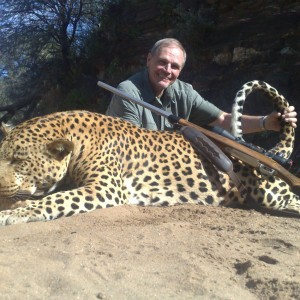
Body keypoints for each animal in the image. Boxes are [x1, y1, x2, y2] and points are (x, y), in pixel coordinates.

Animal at [0, 79, 298, 225]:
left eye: (18, 159)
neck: (77, 140)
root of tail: (268, 152)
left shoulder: (105, 189)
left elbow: (55, 200)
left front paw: (12, 214)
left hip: (268, 193)